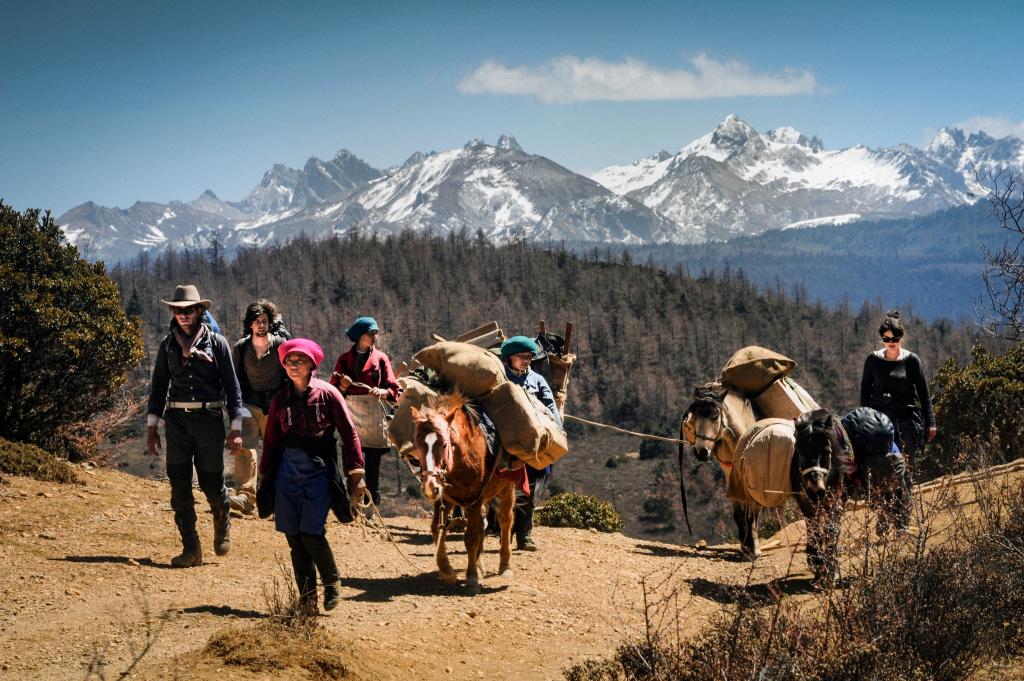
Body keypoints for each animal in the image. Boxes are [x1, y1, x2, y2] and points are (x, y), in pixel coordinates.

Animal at [407, 391, 516, 593]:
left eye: (444, 444)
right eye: (418, 444)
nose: (429, 486)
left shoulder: (474, 499)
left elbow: (471, 538)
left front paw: (471, 579)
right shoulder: (445, 498)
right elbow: (437, 529)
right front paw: (446, 571)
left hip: (506, 487)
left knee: (505, 520)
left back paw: (505, 566)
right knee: (482, 525)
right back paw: (480, 567)